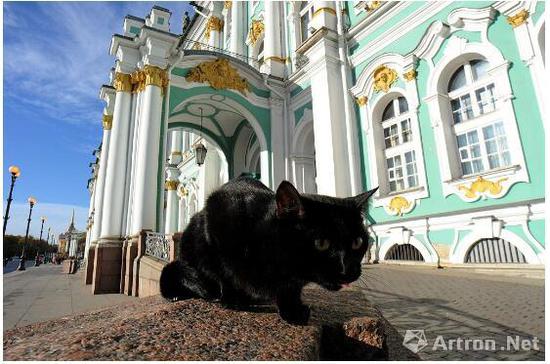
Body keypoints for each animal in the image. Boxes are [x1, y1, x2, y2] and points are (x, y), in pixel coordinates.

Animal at [161, 176, 380, 324]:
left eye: (357, 242)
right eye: (321, 243)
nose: (348, 269)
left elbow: (291, 289)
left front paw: (292, 310)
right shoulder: (217, 216)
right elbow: (224, 272)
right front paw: (233, 300)